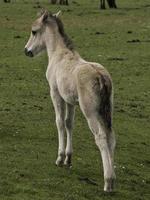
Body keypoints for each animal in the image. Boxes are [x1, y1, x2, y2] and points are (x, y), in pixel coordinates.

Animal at [24, 10, 116, 191]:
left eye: (34, 31)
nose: (27, 51)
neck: (59, 54)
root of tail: (100, 77)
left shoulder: (55, 94)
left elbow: (59, 122)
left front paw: (60, 158)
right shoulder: (70, 101)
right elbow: (69, 123)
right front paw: (68, 158)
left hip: (90, 112)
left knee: (101, 137)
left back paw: (108, 182)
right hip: (106, 110)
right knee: (110, 137)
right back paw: (113, 177)